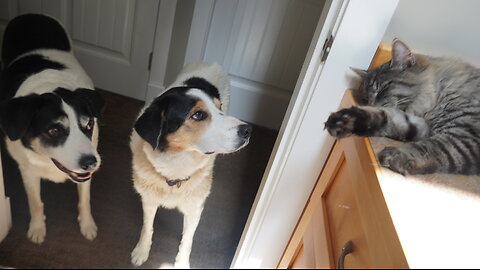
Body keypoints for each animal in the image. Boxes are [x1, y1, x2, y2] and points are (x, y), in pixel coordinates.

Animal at [0, 13, 104, 244]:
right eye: (54, 131)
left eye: (89, 124)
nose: (91, 162)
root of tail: (31, 14)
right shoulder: (27, 170)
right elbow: (35, 202)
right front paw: (37, 229)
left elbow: (85, 199)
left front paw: (87, 225)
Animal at [324, 39, 480, 175]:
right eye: (367, 98)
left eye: (382, 89)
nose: (373, 103)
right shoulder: (420, 124)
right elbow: (386, 119)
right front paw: (346, 120)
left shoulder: (465, 134)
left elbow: (433, 147)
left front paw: (396, 156)